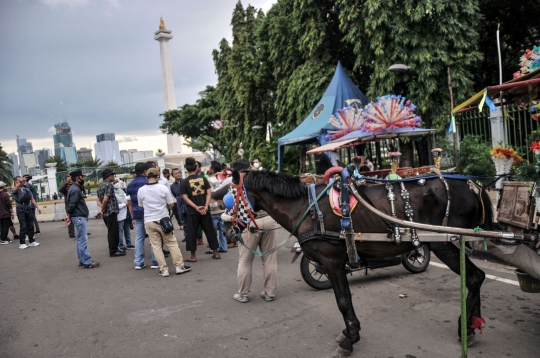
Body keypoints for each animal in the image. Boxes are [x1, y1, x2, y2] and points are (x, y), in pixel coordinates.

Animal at [232, 169, 494, 356]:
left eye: (231, 194)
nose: (233, 226)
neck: (306, 210)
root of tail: (473, 186)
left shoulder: (331, 261)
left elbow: (343, 300)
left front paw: (350, 339)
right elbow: (344, 299)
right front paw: (349, 332)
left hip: (442, 243)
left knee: (474, 277)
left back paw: (466, 327)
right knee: (476, 277)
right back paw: (473, 325)